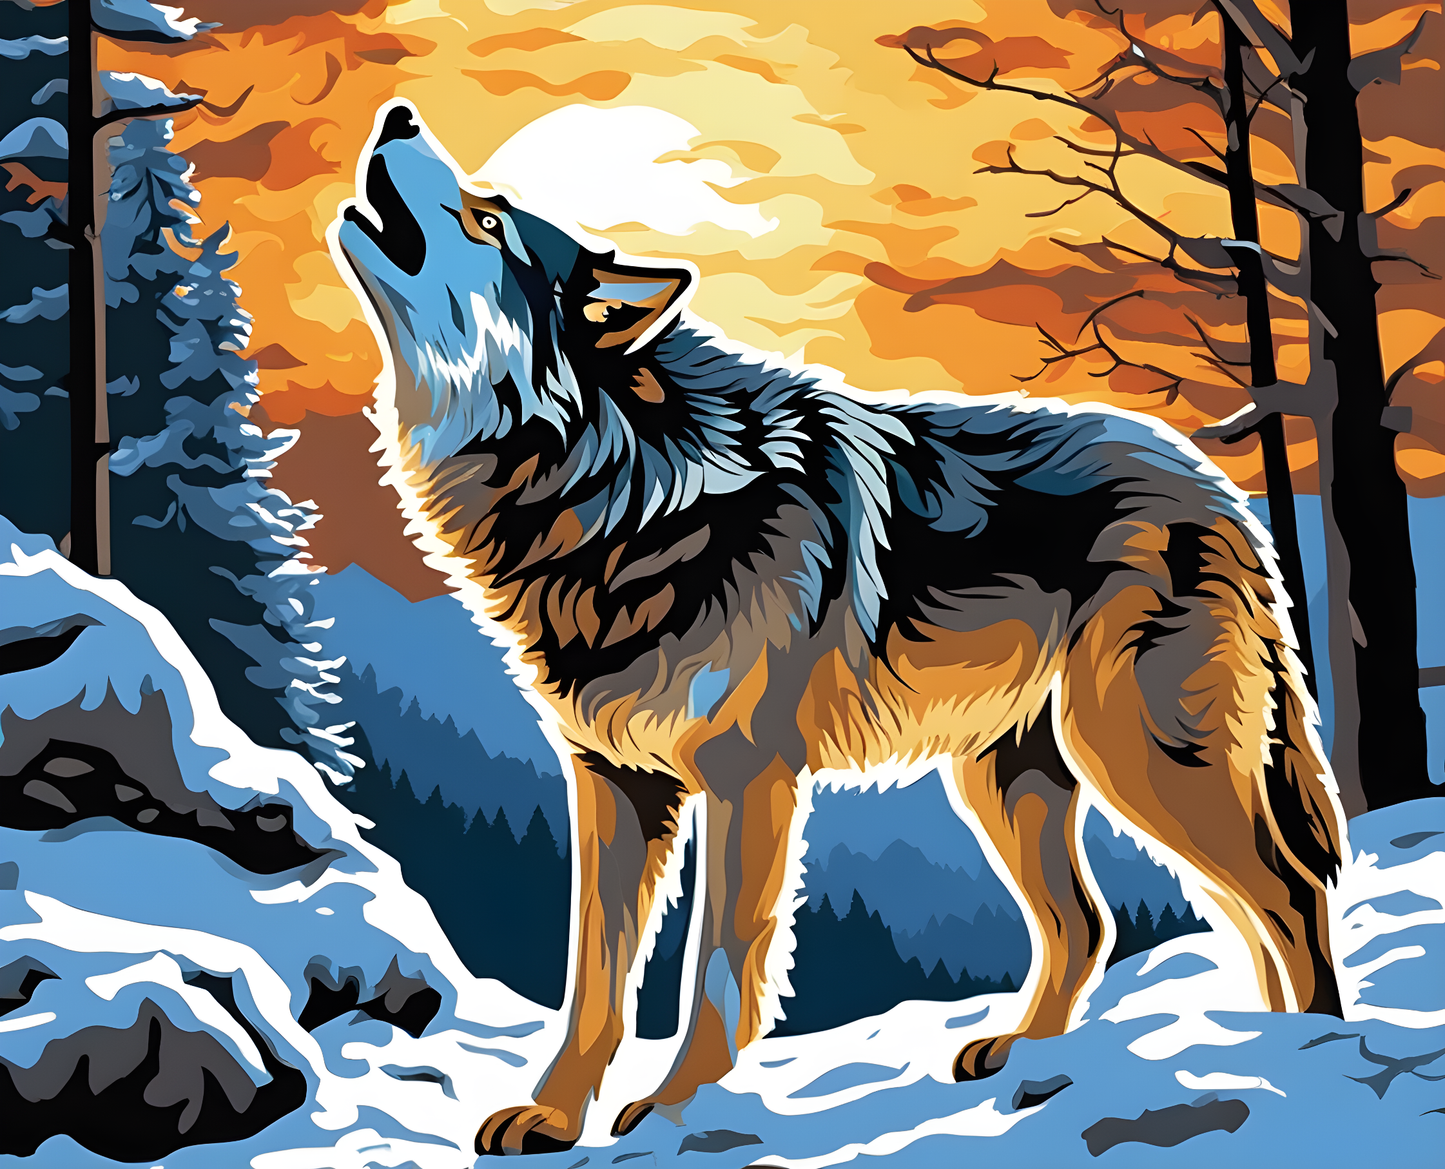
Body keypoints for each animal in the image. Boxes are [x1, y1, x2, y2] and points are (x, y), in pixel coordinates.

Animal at [331, 101, 1345, 1155]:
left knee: (1286, 893)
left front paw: (677, 1108)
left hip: (1138, 756)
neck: (617, 483)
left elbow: (716, 964)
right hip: (1011, 776)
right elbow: (594, 979)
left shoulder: (745, 780)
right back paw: (1041, 1055)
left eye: (490, 219)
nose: (397, 114)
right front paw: (554, 1114)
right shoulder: (612, 784)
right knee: (1091, 923)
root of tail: (1213, 481)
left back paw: (1300, 1055)